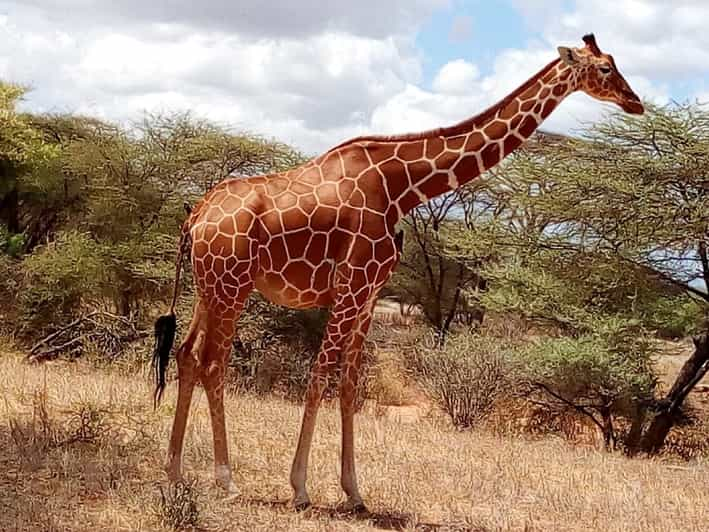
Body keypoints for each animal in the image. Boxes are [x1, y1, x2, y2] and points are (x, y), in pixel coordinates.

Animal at [152, 34, 644, 512]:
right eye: (605, 68)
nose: (635, 101)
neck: (402, 186)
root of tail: (195, 217)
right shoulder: (351, 285)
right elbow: (319, 375)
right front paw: (300, 488)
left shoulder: (370, 293)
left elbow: (350, 384)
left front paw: (354, 492)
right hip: (232, 286)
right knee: (213, 363)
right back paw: (225, 480)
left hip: (209, 286)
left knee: (187, 355)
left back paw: (174, 471)